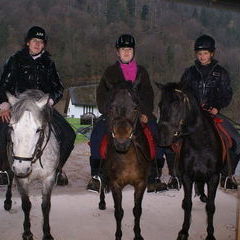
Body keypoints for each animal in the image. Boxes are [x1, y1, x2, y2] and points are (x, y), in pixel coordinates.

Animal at [98, 85, 151, 239]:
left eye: (135, 108)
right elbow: (119, 212)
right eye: (111, 107)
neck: (126, 156)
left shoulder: (141, 184)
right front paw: (118, 235)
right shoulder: (116, 184)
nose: (122, 142)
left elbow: (137, 210)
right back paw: (102, 203)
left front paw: (138, 235)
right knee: (102, 180)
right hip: (103, 169)